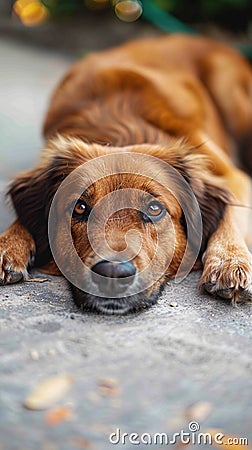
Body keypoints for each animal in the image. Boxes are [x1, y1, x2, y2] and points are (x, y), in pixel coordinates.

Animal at [0, 35, 252, 312]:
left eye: (155, 208)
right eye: (79, 207)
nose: (112, 274)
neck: (122, 132)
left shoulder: (233, 176)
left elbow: (230, 211)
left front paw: (229, 259)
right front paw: (8, 243)